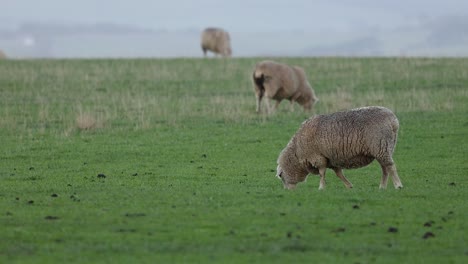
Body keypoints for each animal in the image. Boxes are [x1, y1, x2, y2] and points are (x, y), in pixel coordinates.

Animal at [276, 106, 404, 191]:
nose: (288, 191)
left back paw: (398, 185)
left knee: (390, 166)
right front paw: (349, 186)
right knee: (385, 169)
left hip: (380, 146)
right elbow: (339, 174)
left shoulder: (318, 158)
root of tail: (393, 120)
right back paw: (382, 187)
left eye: (281, 176)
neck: (297, 152)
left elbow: (322, 173)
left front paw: (321, 187)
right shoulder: (331, 159)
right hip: (384, 148)